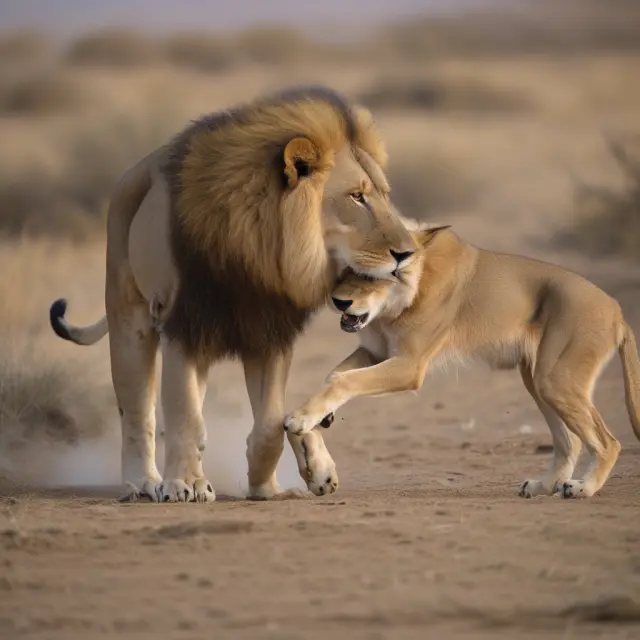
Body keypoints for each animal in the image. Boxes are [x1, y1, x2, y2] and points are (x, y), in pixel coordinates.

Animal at [49, 86, 417, 503]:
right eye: (356, 196)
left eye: (384, 194)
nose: (408, 253)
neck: (257, 249)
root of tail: (134, 171)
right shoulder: (184, 322)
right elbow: (184, 415)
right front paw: (184, 484)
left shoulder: (269, 333)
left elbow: (271, 425)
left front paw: (265, 487)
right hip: (131, 316)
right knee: (137, 412)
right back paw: (142, 483)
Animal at [284, 224, 640, 499]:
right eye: (345, 270)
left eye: (371, 276)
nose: (338, 301)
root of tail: (618, 311)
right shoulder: (377, 352)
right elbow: (332, 377)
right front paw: (318, 454)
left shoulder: (410, 365)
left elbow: (342, 380)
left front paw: (301, 419)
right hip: (538, 378)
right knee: (570, 442)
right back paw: (542, 486)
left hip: (556, 379)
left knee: (609, 443)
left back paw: (582, 488)